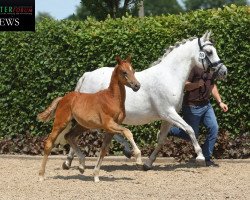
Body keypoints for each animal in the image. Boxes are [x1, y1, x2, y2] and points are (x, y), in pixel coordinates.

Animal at [62, 30, 227, 170]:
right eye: (209, 52)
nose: (224, 71)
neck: (169, 75)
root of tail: (87, 75)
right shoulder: (168, 113)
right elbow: (190, 129)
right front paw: (200, 157)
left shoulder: (167, 117)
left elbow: (161, 139)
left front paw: (148, 163)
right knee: (93, 131)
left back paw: (70, 161)